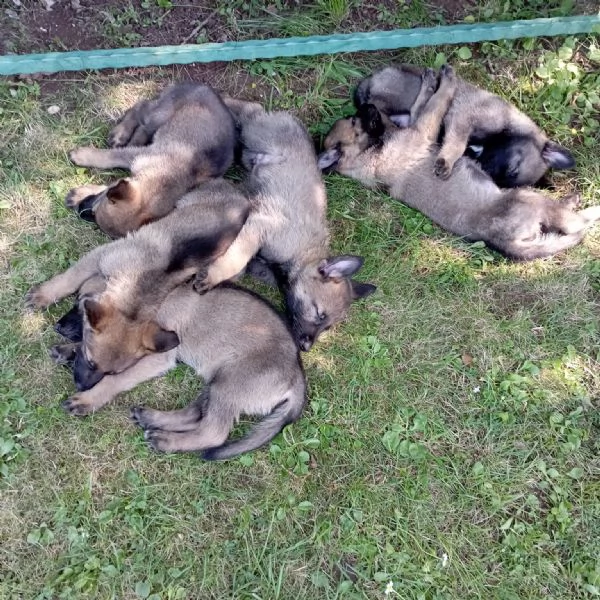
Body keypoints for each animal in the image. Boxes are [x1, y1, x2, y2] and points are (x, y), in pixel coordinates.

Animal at [48, 282, 304, 460]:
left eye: (80, 305)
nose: (58, 327)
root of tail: (297, 377)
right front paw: (68, 350)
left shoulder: (158, 358)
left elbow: (117, 380)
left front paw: (88, 399)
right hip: (217, 378)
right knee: (195, 414)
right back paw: (152, 419)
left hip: (231, 382)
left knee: (213, 432)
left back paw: (166, 441)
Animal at [65, 84, 234, 237]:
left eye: (94, 215)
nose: (81, 210)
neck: (171, 175)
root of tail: (205, 87)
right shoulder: (137, 155)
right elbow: (110, 157)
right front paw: (82, 156)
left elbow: (109, 183)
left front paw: (79, 194)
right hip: (160, 114)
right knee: (140, 107)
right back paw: (121, 133)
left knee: (143, 125)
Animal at [192, 99, 376, 352]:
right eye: (319, 313)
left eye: (327, 327)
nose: (306, 347)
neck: (301, 253)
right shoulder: (260, 226)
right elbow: (236, 259)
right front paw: (213, 276)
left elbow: (241, 266)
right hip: (256, 131)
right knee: (248, 109)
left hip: (250, 154)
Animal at [354, 64, 576, 186]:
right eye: (513, 168)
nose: (484, 170)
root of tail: (371, 79)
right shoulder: (463, 120)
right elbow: (456, 145)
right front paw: (446, 161)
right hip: (400, 95)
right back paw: (436, 81)